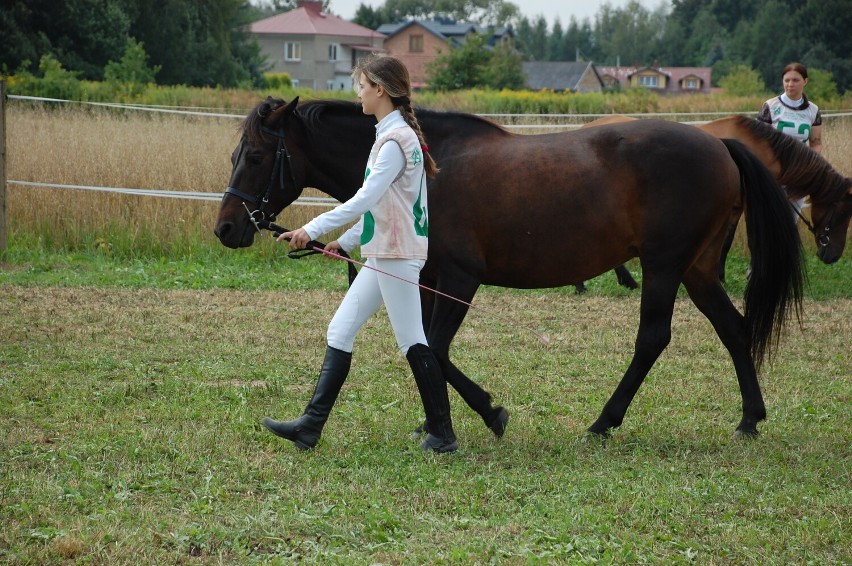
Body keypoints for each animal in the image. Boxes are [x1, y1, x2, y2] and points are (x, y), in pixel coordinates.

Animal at [216, 100, 808, 442]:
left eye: (256, 155)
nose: (227, 228)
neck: (430, 166)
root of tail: (720, 144)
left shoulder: (459, 278)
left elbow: (435, 348)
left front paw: (487, 414)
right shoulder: (425, 280)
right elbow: (424, 349)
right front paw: (443, 418)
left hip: (664, 266)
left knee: (652, 339)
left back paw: (603, 422)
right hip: (698, 270)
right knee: (733, 329)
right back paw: (749, 419)